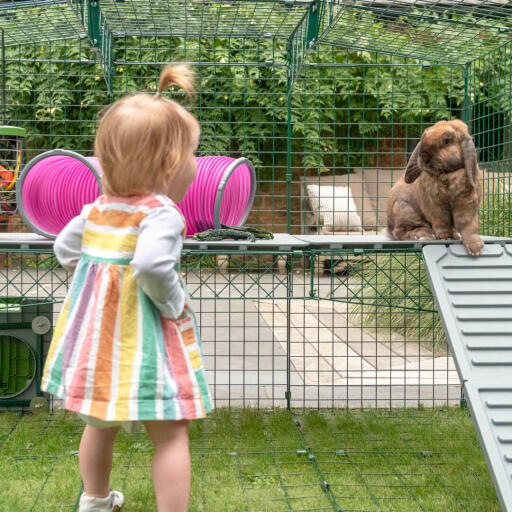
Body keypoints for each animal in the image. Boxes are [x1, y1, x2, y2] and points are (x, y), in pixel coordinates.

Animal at [388, 120, 484, 256]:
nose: (423, 157)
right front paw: (445, 237)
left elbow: (469, 226)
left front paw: (475, 249)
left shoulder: (467, 204)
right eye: (423, 138)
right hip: (403, 208)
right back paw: (425, 234)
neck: (447, 174)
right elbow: (441, 222)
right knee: (400, 231)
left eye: (447, 141)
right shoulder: (435, 206)